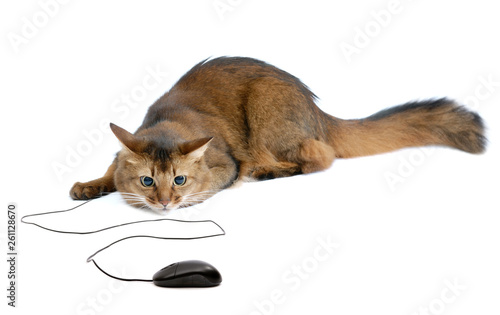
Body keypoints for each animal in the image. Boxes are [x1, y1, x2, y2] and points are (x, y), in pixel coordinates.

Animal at [68, 58, 486, 214]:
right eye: (148, 180)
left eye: (180, 180)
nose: (166, 202)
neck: (168, 122)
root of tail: (316, 110)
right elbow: (111, 171)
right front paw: (91, 185)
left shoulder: (226, 163)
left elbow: (215, 182)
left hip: (265, 106)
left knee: (319, 155)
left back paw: (270, 171)